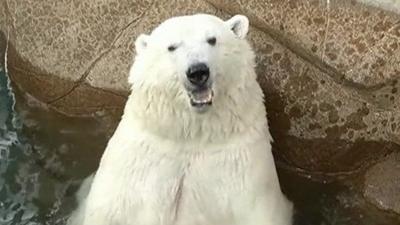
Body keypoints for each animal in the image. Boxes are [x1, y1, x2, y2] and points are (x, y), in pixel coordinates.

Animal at [67, 13, 292, 225]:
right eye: (172, 47)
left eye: (212, 39)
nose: (198, 72)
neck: (190, 133)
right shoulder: (135, 170)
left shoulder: (240, 168)